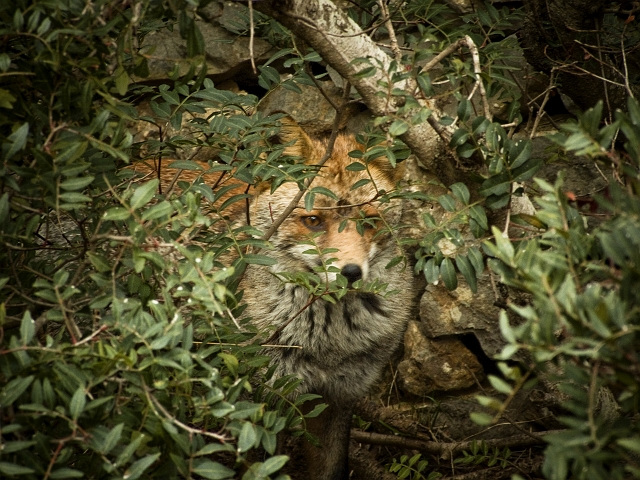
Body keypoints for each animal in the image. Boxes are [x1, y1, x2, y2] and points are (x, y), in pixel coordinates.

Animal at [129, 117, 416, 480]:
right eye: (313, 220)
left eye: (369, 221)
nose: (350, 273)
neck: (326, 343)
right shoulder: (261, 405)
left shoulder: (337, 398)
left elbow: (330, 469)